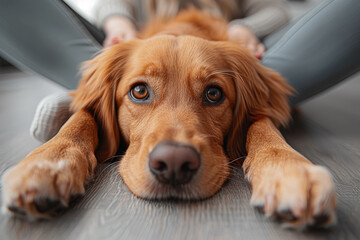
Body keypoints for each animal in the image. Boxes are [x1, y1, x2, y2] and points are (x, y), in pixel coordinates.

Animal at [1, 8, 336, 227]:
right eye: (139, 91)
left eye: (213, 93)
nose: (174, 164)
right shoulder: (88, 109)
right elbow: (80, 118)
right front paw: (46, 163)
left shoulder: (259, 115)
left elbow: (264, 127)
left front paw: (290, 170)